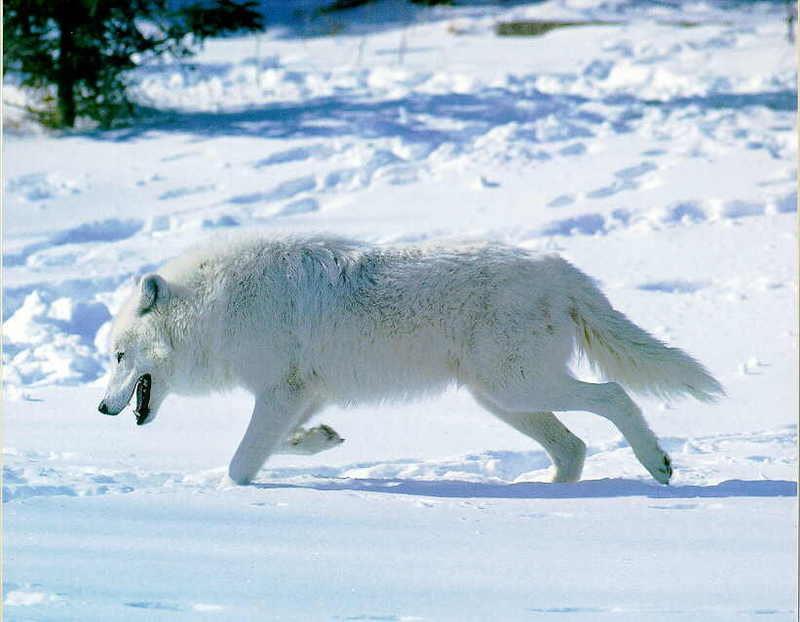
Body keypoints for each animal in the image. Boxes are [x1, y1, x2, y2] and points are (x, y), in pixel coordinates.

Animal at [97, 236, 720, 486]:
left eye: (119, 356)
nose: (102, 408)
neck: (216, 306)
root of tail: (562, 269)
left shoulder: (280, 392)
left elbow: (240, 464)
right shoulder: (302, 394)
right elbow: (282, 442)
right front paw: (321, 441)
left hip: (518, 387)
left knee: (613, 397)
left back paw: (657, 466)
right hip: (502, 399)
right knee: (573, 447)